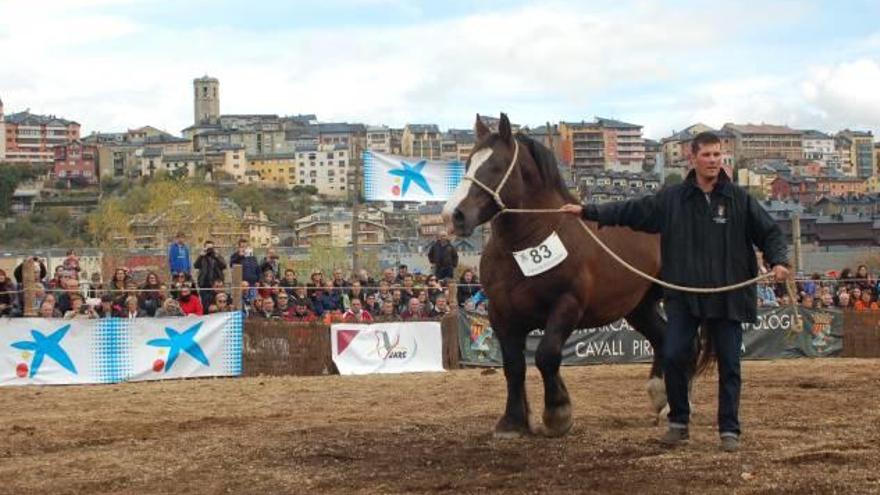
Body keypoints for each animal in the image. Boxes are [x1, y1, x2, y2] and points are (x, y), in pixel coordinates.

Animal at [444, 113, 664, 438]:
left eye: (495, 167)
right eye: (469, 162)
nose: (453, 215)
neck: (526, 243)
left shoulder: (566, 305)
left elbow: (547, 355)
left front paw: (558, 412)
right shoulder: (501, 314)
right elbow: (514, 366)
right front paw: (513, 421)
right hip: (640, 307)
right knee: (663, 338)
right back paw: (662, 399)